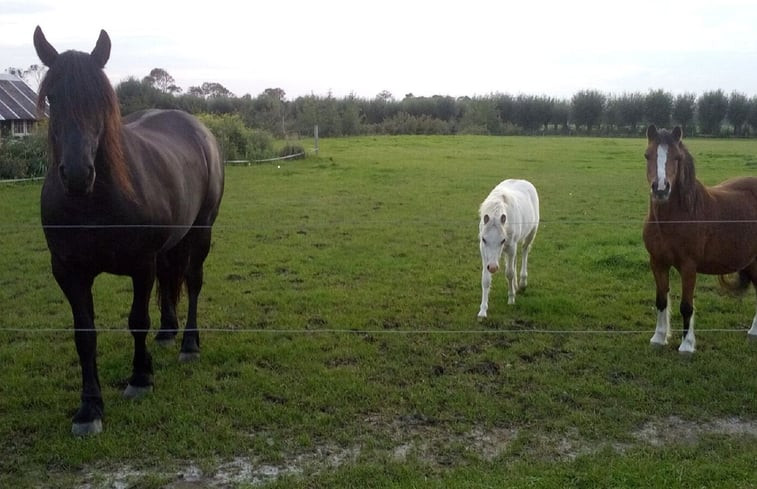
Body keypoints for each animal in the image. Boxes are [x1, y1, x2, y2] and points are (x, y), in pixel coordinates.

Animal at [34, 26, 224, 432]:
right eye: (53, 97)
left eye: (101, 99)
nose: (78, 174)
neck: (93, 204)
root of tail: (197, 127)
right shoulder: (68, 272)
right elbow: (84, 336)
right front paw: (89, 408)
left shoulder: (140, 265)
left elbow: (137, 320)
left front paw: (140, 379)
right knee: (172, 278)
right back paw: (167, 333)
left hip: (201, 231)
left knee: (193, 281)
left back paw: (189, 344)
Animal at [478, 179, 536, 316]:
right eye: (484, 239)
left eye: (502, 240)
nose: (493, 267)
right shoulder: (483, 250)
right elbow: (485, 279)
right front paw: (483, 310)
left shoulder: (510, 247)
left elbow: (509, 273)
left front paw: (511, 299)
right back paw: (515, 285)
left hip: (530, 233)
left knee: (525, 250)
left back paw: (522, 283)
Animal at [644, 124, 756, 352]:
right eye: (647, 155)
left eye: (677, 157)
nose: (661, 189)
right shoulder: (657, 262)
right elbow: (661, 301)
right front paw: (658, 338)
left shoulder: (689, 266)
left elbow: (687, 306)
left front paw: (687, 346)